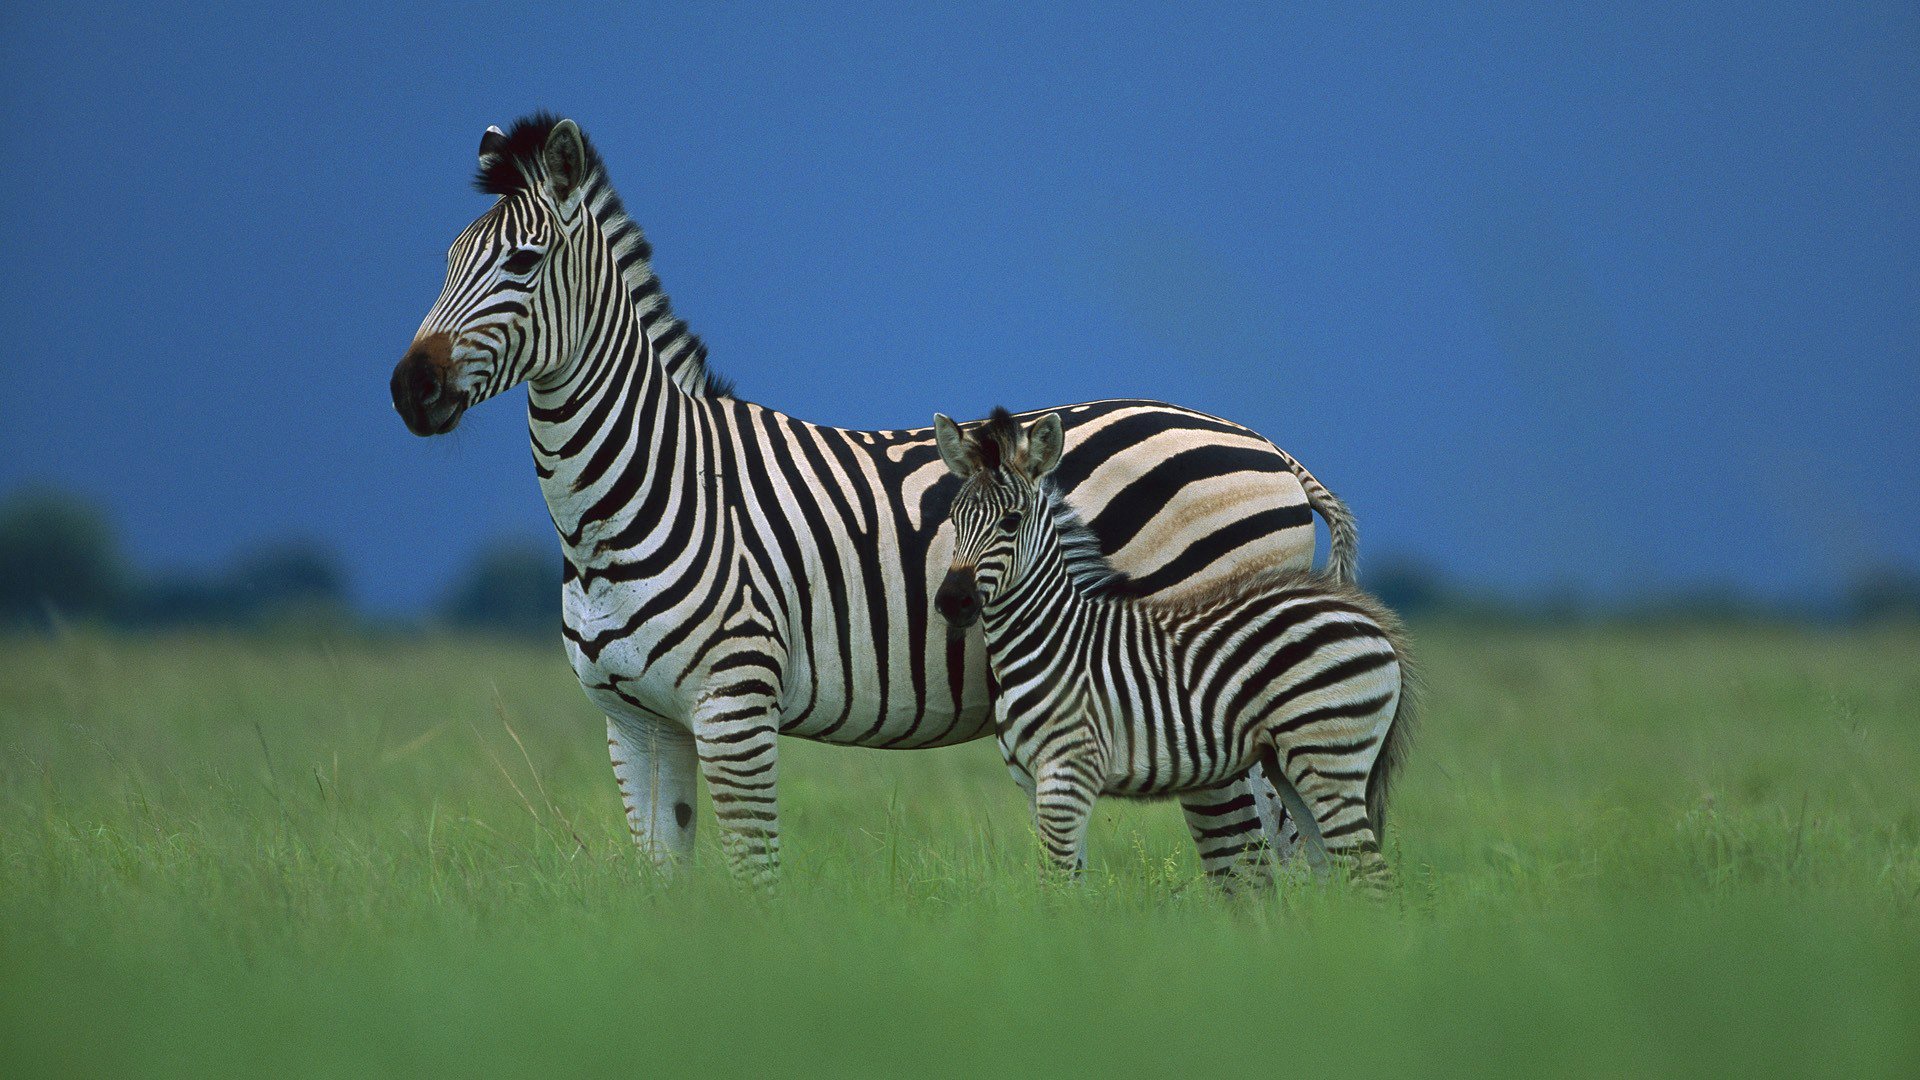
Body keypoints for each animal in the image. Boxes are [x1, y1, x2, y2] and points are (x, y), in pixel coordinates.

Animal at [388, 113, 1360, 889]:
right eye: (447, 261)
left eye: (523, 262)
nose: (409, 388)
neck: (634, 495)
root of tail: (1270, 449)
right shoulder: (636, 723)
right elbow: (665, 890)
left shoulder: (735, 707)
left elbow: (755, 883)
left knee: (1256, 865)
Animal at [930, 407, 1414, 890]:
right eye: (952, 518)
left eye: (1010, 522)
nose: (953, 601)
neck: (1052, 637)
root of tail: (1368, 617)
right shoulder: (1034, 781)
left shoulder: (1068, 772)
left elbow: (1058, 887)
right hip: (1293, 762)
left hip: (1327, 754)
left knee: (1371, 875)